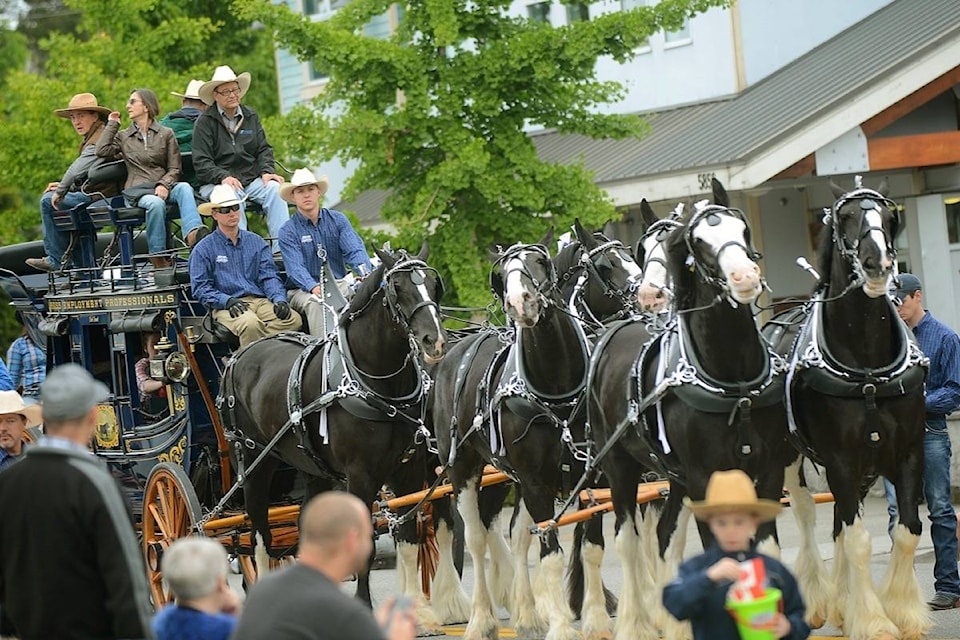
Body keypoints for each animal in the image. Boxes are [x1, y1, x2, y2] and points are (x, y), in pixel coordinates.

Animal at [220, 242, 446, 612]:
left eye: (433, 283)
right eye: (398, 288)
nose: (435, 341)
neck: (377, 386)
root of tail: (237, 357)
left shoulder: (409, 471)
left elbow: (410, 540)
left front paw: (415, 608)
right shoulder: (360, 476)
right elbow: (364, 545)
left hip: (313, 469)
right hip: (255, 463)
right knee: (259, 536)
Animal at [580, 181, 792, 640]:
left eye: (741, 229)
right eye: (699, 243)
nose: (744, 278)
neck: (734, 381)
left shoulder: (768, 471)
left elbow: (764, 545)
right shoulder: (704, 477)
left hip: (673, 475)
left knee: (664, 536)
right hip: (620, 465)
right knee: (627, 539)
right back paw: (636, 622)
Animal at [768, 178, 928, 640]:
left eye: (889, 215)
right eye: (846, 217)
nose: (878, 264)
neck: (868, 367)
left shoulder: (907, 452)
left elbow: (907, 531)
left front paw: (903, 612)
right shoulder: (840, 458)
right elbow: (858, 540)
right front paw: (874, 621)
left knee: (839, 518)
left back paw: (841, 604)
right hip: (790, 459)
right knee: (807, 514)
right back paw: (820, 601)